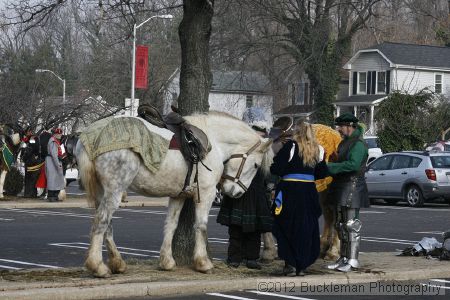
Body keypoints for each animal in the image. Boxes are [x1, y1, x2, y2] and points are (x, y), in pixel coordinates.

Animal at [75, 112, 272, 276]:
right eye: (256, 166)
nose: (237, 192)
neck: (214, 144)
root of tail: (91, 136)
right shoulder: (206, 193)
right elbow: (201, 226)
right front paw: (203, 263)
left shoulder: (178, 196)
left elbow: (171, 224)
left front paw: (167, 261)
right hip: (115, 190)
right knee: (101, 222)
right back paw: (98, 266)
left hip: (103, 192)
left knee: (107, 225)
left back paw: (117, 263)